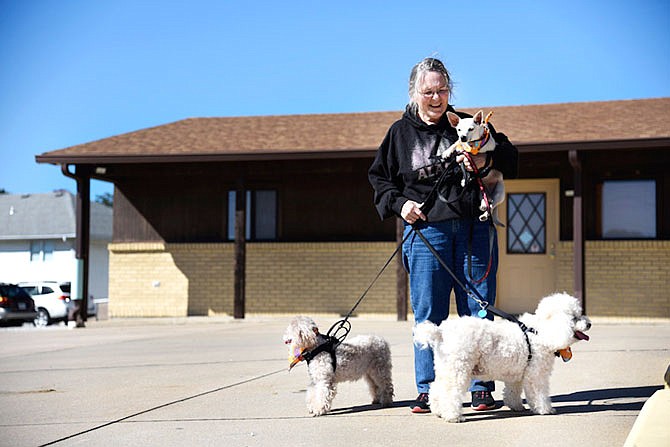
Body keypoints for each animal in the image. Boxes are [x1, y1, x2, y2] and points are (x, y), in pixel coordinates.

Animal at [414, 294, 592, 424]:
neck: (539, 332)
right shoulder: (536, 375)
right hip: (459, 369)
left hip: (446, 368)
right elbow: (539, 393)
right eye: (574, 318)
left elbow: (513, 391)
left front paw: (516, 406)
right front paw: (545, 409)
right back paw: (453, 416)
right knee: (451, 392)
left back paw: (438, 411)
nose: (589, 324)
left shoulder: (517, 374)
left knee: (436, 388)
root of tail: (440, 333)